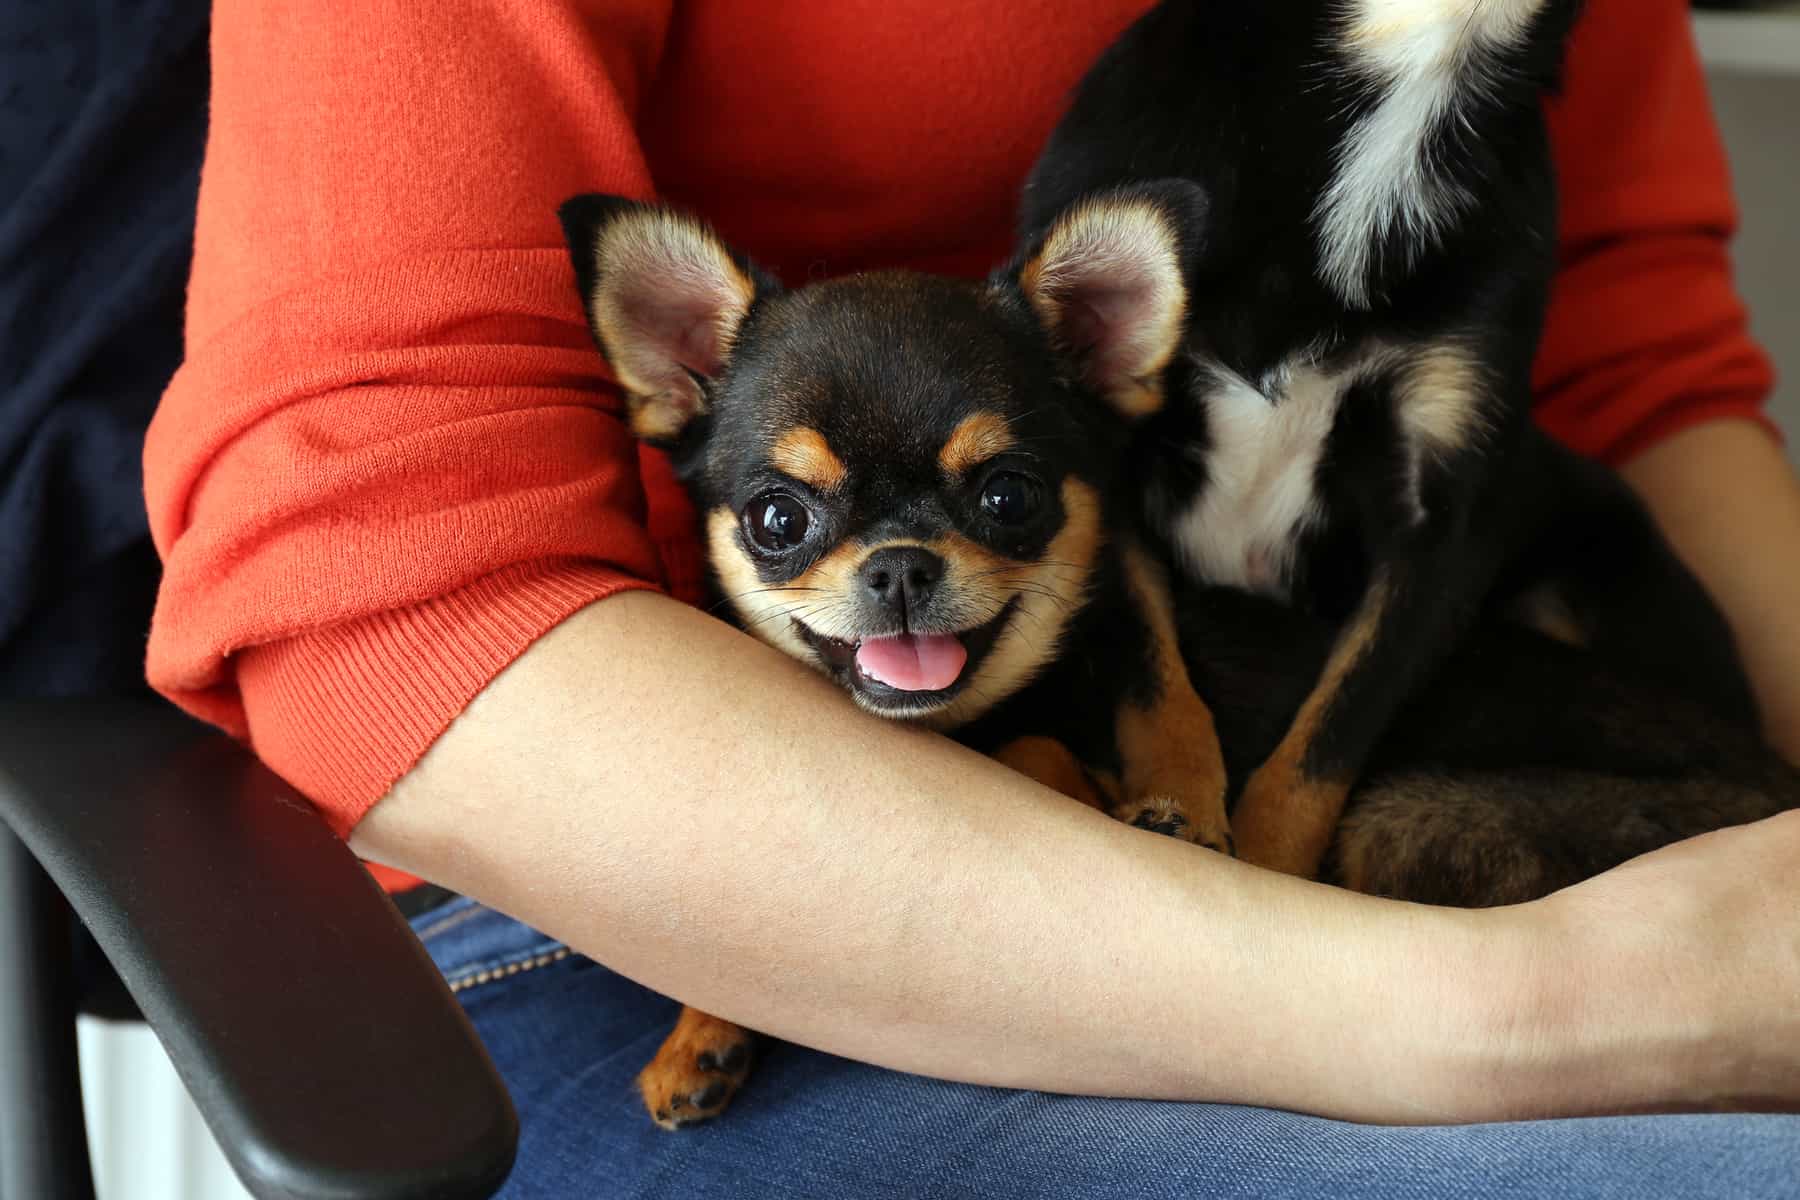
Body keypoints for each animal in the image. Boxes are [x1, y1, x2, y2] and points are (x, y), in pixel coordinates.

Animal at [554, 199, 1792, 1137]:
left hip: (1403, 820)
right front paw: (700, 1035)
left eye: (1008, 497)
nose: (901, 564)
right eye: (777, 519)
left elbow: (1052, 755)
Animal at [1015, 0, 1756, 881]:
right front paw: (1182, 812)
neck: (1413, 77)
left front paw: (1262, 866)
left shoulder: (1441, 526)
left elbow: (1330, 736)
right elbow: (1152, 679)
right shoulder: (1112, 470)